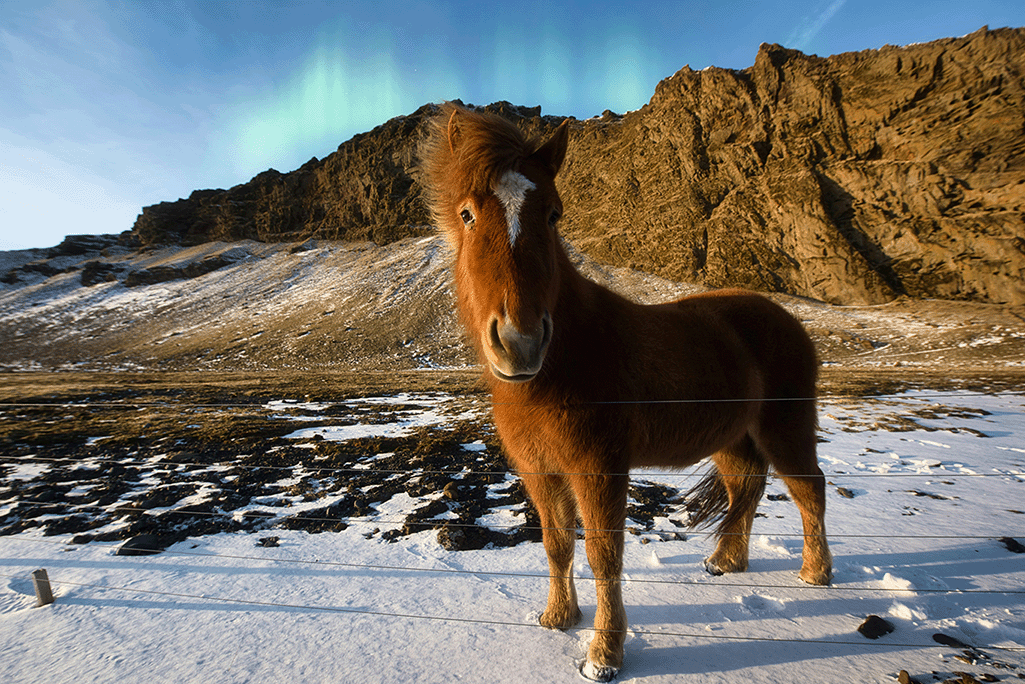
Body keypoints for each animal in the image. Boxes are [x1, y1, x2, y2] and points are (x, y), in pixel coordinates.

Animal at [420, 103, 832, 682]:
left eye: (554, 215)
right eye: (466, 214)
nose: (520, 342)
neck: (564, 361)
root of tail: (787, 319)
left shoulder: (599, 467)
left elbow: (603, 553)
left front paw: (603, 655)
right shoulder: (540, 469)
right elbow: (556, 544)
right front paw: (558, 618)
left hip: (784, 428)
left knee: (808, 489)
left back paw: (814, 575)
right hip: (733, 439)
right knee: (745, 488)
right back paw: (725, 563)